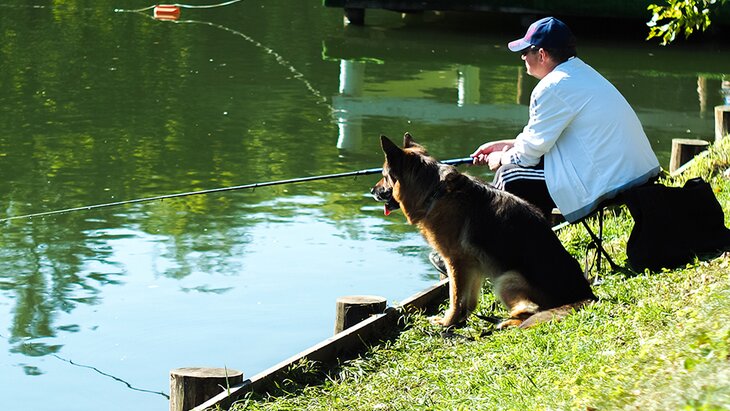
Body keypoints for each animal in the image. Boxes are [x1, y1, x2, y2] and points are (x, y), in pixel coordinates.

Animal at [371, 133, 596, 328]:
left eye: (383, 175)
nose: (372, 190)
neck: (435, 192)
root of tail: (586, 295)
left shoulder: (455, 261)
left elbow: (455, 297)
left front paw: (447, 322)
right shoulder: (473, 265)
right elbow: (469, 300)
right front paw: (461, 319)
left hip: (507, 279)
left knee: (531, 311)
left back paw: (507, 323)